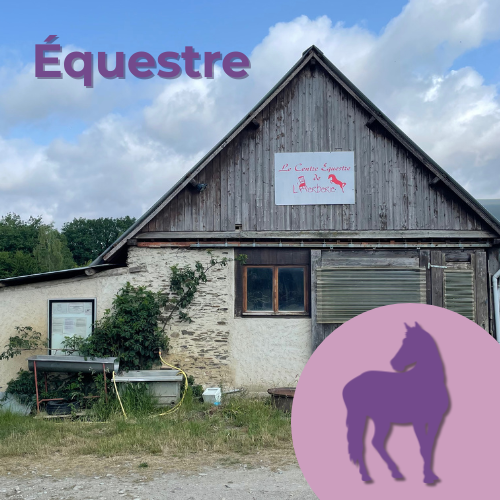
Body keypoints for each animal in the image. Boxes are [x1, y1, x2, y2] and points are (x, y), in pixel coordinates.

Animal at [342, 322, 449, 484]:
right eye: (404, 342)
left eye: (412, 343)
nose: (394, 363)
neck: (427, 381)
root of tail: (351, 384)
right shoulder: (418, 421)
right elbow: (423, 447)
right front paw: (427, 477)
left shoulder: (436, 419)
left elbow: (429, 446)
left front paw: (431, 475)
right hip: (361, 416)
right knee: (361, 444)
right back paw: (367, 476)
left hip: (381, 420)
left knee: (376, 442)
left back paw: (394, 473)